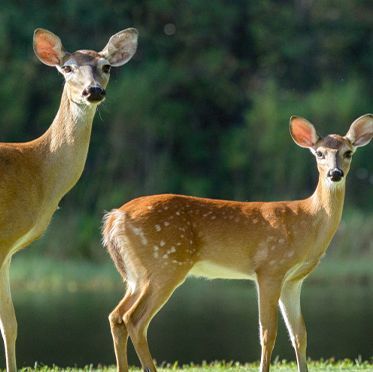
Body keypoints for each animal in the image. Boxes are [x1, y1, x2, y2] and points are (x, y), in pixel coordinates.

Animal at [0, 27, 138, 370]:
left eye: (106, 66)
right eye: (67, 67)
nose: (93, 91)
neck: (38, 170)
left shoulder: (7, 249)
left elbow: (10, 323)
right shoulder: (3, 238)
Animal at [102, 114, 372, 372]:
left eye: (348, 152)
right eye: (319, 153)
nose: (335, 174)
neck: (308, 221)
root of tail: (115, 217)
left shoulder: (293, 280)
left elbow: (299, 334)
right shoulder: (270, 269)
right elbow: (268, 333)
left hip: (138, 275)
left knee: (117, 316)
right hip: (165, 264)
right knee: (134, 319)